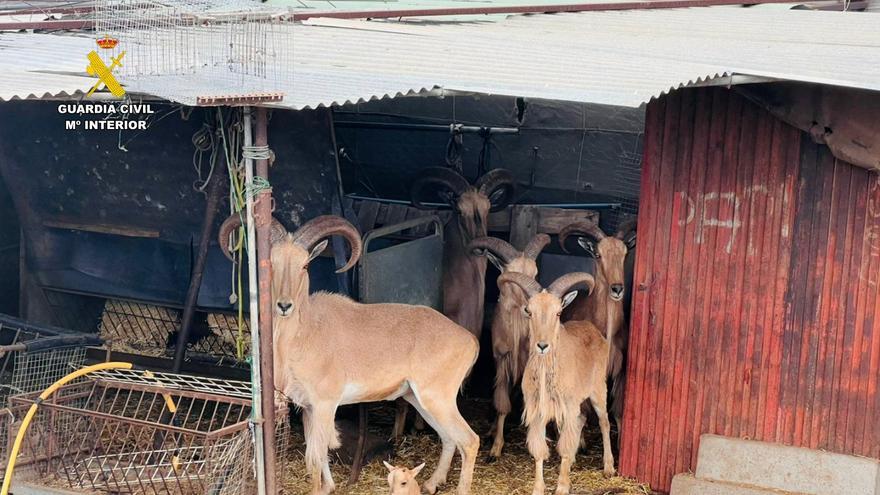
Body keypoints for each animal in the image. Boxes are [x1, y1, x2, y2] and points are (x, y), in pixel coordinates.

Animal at [498, 272, 616, 495]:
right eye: (529, 311)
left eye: (559, 312)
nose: (543, 345)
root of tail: (594, 330)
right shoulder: (538, 411)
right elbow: (539, 449)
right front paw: (538, 488)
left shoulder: (568, 407)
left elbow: (565, 446)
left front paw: (562, 486)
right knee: (581, 421)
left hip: (598, 389)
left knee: (604, 422)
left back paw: (608, 467)